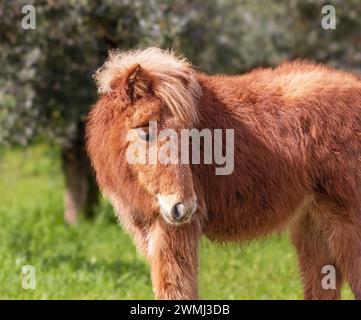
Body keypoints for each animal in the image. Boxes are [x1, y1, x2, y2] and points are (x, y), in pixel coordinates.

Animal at [86, 47, 360, 300]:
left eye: (189, 136)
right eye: (145, 132)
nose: (183, 207)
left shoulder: (174, 234)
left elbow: (176, 291)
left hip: (345, 222)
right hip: (313, 224)